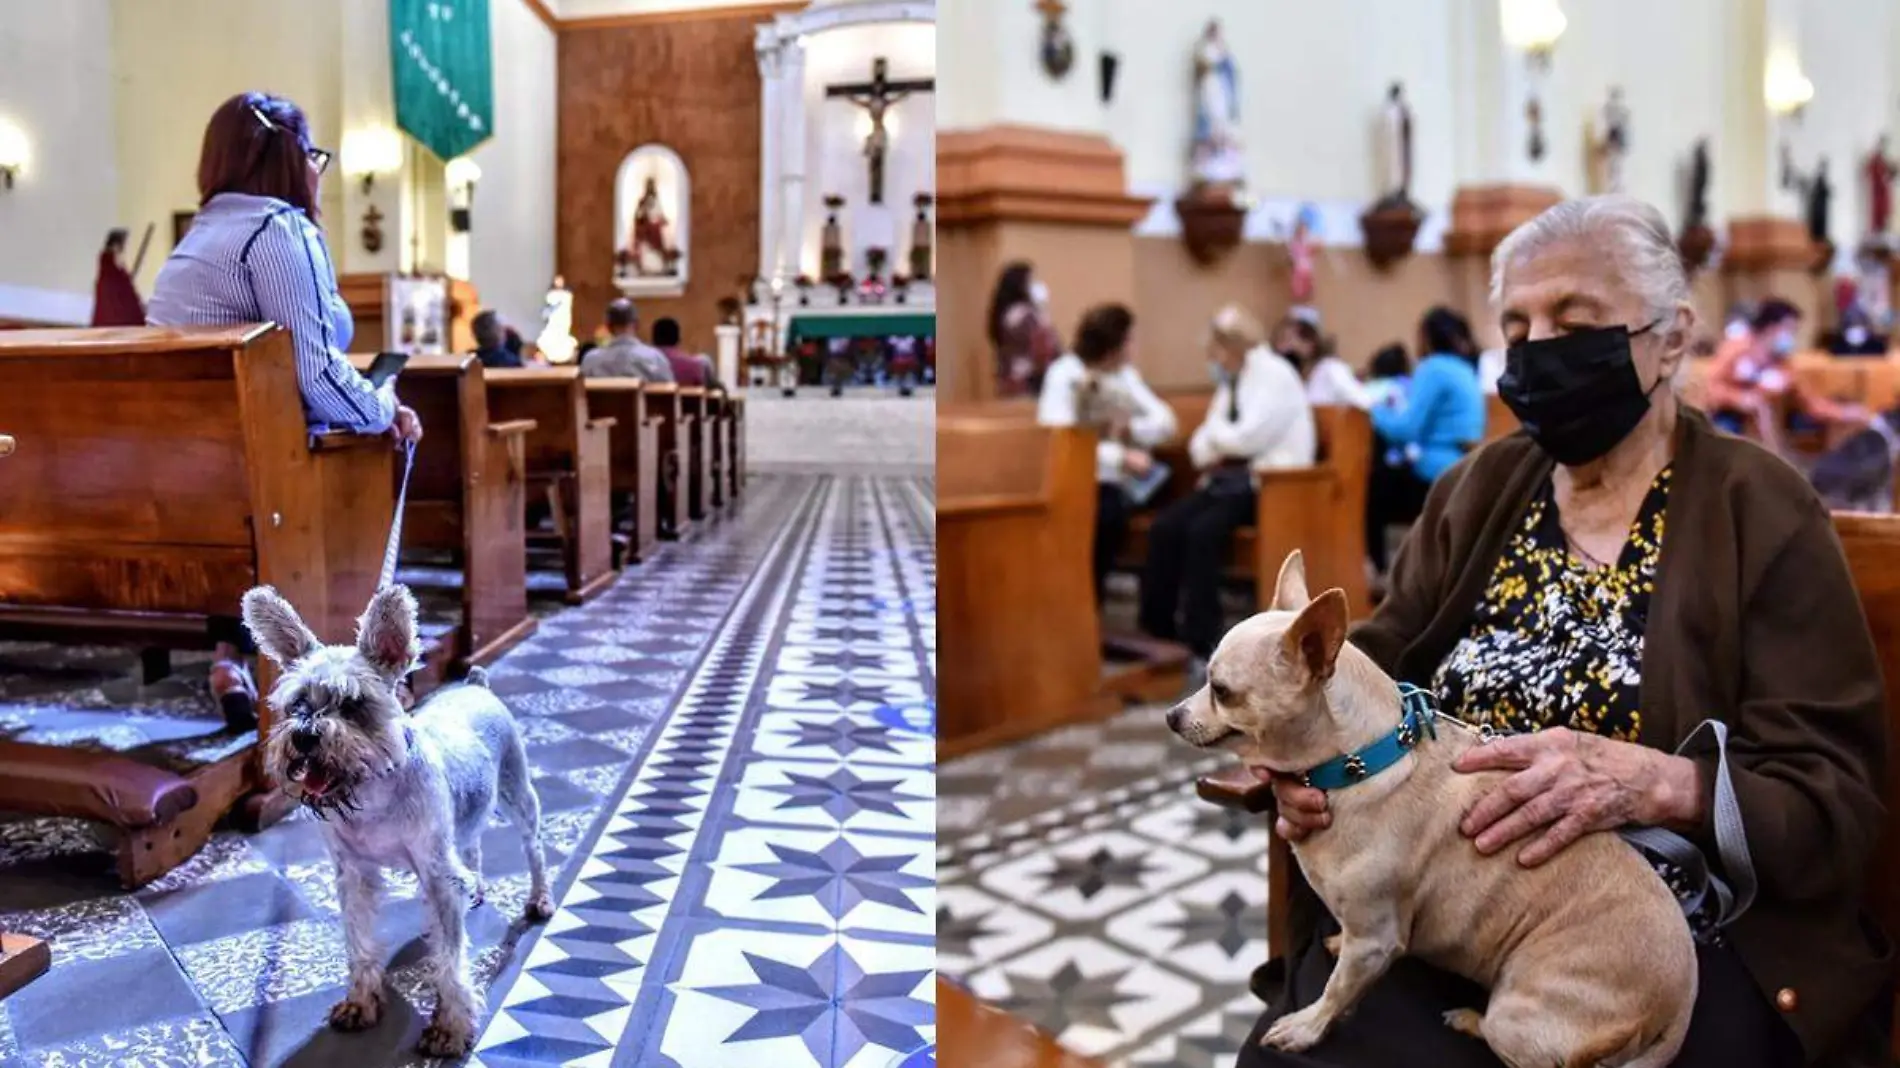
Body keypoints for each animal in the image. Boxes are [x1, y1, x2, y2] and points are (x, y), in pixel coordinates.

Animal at [241, 581, 554, 1056]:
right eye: (297, 703)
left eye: (354, 703)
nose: (305, 737)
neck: (373, 790)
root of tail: (476, 685)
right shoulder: (353, 875)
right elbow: (359, 943)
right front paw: (361, 1001)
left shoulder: (438, 875)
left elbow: (450, 960)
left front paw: (450, 1026)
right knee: (473, 844)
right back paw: (477, 889)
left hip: (517, 795)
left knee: (533, 848)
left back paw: (539, 899)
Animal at [1162, 551, 1702, 1064]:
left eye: (1222, 691)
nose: (1170, 715)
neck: (1360, 763)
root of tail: (1677, 1011)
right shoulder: (1362, 934)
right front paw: (1333, 946)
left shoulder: (1375, 940)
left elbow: (1338, 990)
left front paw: (1307, 1027)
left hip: (1517, 1012)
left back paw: (1470, 1019)